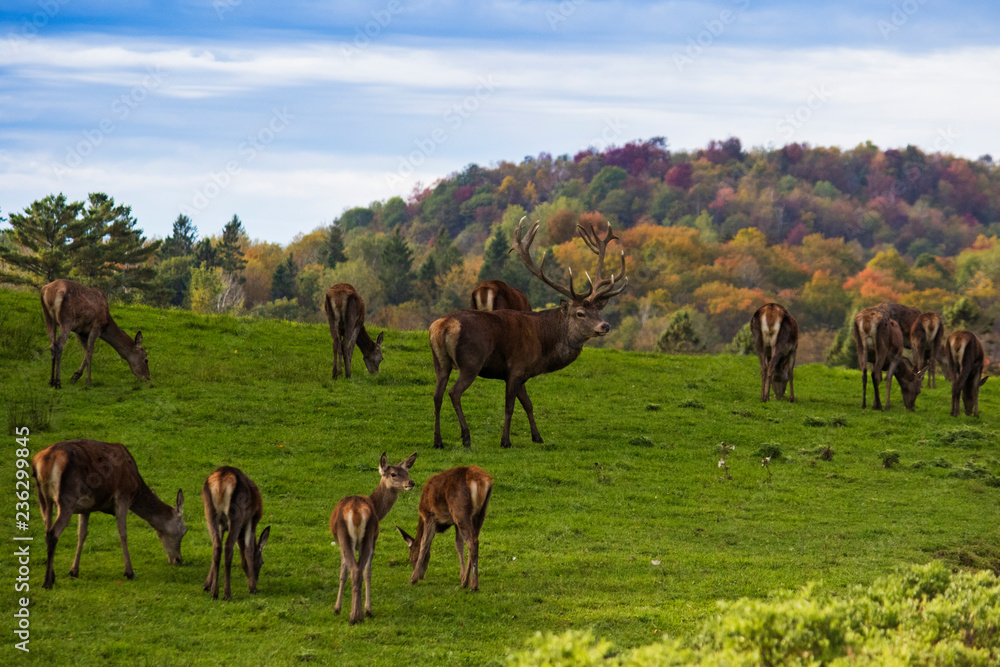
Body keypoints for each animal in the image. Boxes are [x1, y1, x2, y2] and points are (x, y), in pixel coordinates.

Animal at [31, 439, 186, 589]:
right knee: (53, 533)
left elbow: (82, 534)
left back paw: (52, 576)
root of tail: (44, 462)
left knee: (47, 529)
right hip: (67, 497)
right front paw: (129, 572)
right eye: (184, 531)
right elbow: (123, 533)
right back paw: (47, 582)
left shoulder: (86, 507)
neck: (136, 488)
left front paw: (74, 571)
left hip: (44, 498)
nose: (178, 560)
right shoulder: (123, 495)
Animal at [202, 467, 270, 601]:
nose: (256, 579)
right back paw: (227, 594)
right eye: (262, 562)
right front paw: (252, 588)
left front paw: (207, 584)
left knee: (216, 546)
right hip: (236, 512)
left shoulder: (221, 525)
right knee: (228, 547)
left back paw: (214, 592)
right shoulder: (252, 519)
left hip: (209, 511)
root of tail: (222, 478)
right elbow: (248, 550)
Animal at [330, 451, 417, 625]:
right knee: (358, 571)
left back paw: (356, 616)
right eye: (393, 473)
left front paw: (339, 608)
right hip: (364, 537)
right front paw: (340, 608)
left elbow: (349, 573)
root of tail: (356, 512)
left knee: (357, 571)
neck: (376, 508)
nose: (411, 482)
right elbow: (350, 573)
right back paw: (357, 615)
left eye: (407, 472)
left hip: (357, 537)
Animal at [430, 218, 627, 449]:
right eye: (580, 313)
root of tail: (443, 326)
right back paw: (466, 437)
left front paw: (538, 437)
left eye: (598, 310)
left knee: (437, 395)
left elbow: (528, 404)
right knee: (454, 392)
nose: (605, 326)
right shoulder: (516, 368)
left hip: (440, 362)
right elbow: (510, 406)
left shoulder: (523, 374)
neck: (543, 347)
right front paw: (505, 441)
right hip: (471, 361)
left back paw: (438, 441)